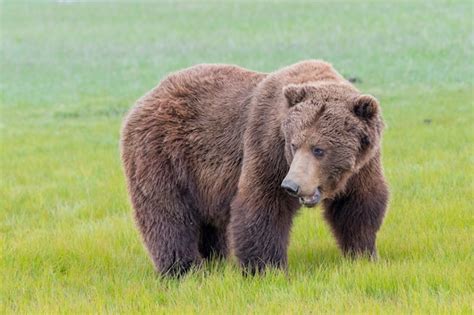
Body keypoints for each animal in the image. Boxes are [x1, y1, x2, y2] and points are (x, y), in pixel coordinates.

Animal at [119, 59, 388, 276]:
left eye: (319, 149)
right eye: (293, 144)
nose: (292, 186)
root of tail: (144, 98)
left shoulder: (364, 164)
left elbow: (357, 205)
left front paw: (363, 254)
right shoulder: (268, 146)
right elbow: (262, 203)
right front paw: (266, 269)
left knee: (209, 223)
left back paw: (215, 260)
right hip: (163, 154)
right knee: (167, 213)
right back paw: (183, 268)